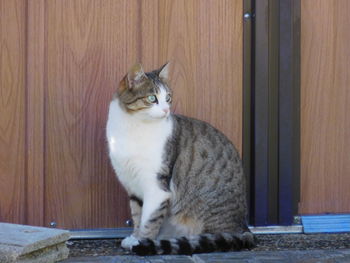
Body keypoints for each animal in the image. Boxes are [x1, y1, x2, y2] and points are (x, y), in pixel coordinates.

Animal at [105, 62, 256, 256]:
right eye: (152, 98)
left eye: (168, 98)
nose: (166, 110)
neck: (134, 127)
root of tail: (244, 226)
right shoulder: (133, 186)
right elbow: (138, 215)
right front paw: (134, 237)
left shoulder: (157, 187)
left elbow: (149, 220)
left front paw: (142, 241)